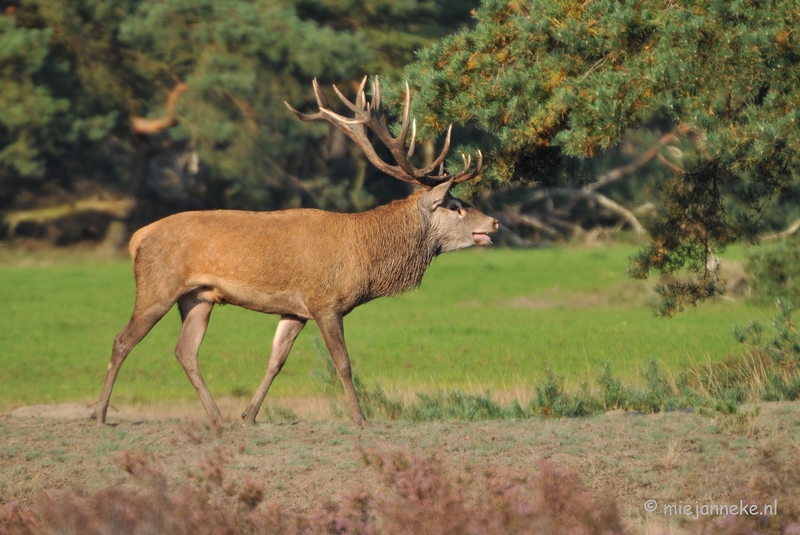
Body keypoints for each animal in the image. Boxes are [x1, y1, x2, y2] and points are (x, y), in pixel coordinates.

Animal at [90, 76, 496, 428]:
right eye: (455, 205)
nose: (493, 223)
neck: (365, 255)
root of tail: (137, 237)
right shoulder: (325, 301)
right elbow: (343, 363)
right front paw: (360, 419)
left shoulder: (295, 310)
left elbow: (276, 361)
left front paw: (248, 415)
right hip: (157, 286)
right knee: (122, 340)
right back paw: (99, 414)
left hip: (199, 297)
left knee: (185, 351)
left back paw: (218, 416)